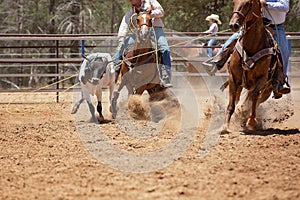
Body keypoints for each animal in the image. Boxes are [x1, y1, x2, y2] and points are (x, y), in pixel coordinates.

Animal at [221, 0, 284, 134]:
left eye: (248, 3)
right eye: (234, 2)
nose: (233, 25)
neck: (251, 46)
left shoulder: (262, 79)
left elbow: (254, 97)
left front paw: (252, 121)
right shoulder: (233, 78)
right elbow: (231, 103)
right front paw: (225, 127)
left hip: (267, 90)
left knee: (255, 100)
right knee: (239, 99)